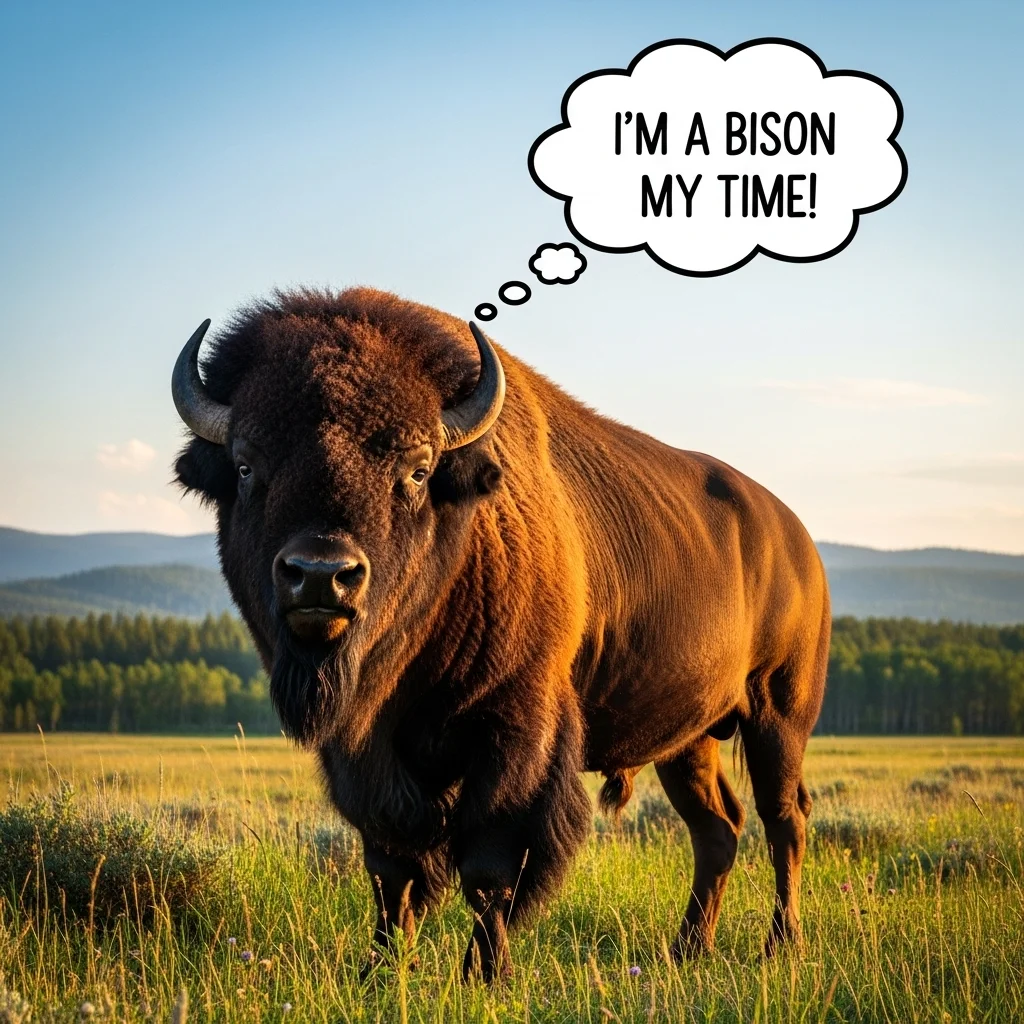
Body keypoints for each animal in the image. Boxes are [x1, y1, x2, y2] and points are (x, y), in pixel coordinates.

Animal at [172, 288, 829, 981]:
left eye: (417, 469)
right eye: (246, 465)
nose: (322, 575)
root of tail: (796, 539)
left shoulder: (515, 733)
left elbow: (490, 865)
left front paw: (483, 973)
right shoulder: (365, 752)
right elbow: (389, 865)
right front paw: (383, 968)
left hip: (779, 717)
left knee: (785, 820)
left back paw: (782, 945)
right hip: (690, 740)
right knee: (717, 829)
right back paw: (686, 950)